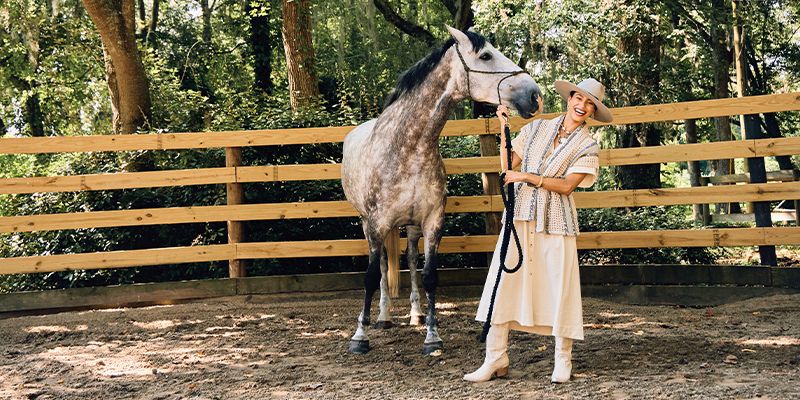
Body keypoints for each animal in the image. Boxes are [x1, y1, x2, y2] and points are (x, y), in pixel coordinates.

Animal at [341, 26, 542, 355]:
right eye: (485, 56)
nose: (534, 95)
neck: (408, 147)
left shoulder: (434, 221)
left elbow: (429, 276)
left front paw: (432, 337)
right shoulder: (377, 223)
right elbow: (370, 276)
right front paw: (360, 336)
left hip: (410, 226)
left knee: (410, 258)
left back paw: (415, 314)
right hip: (368, 224)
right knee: (381, 265)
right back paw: (382, 317)